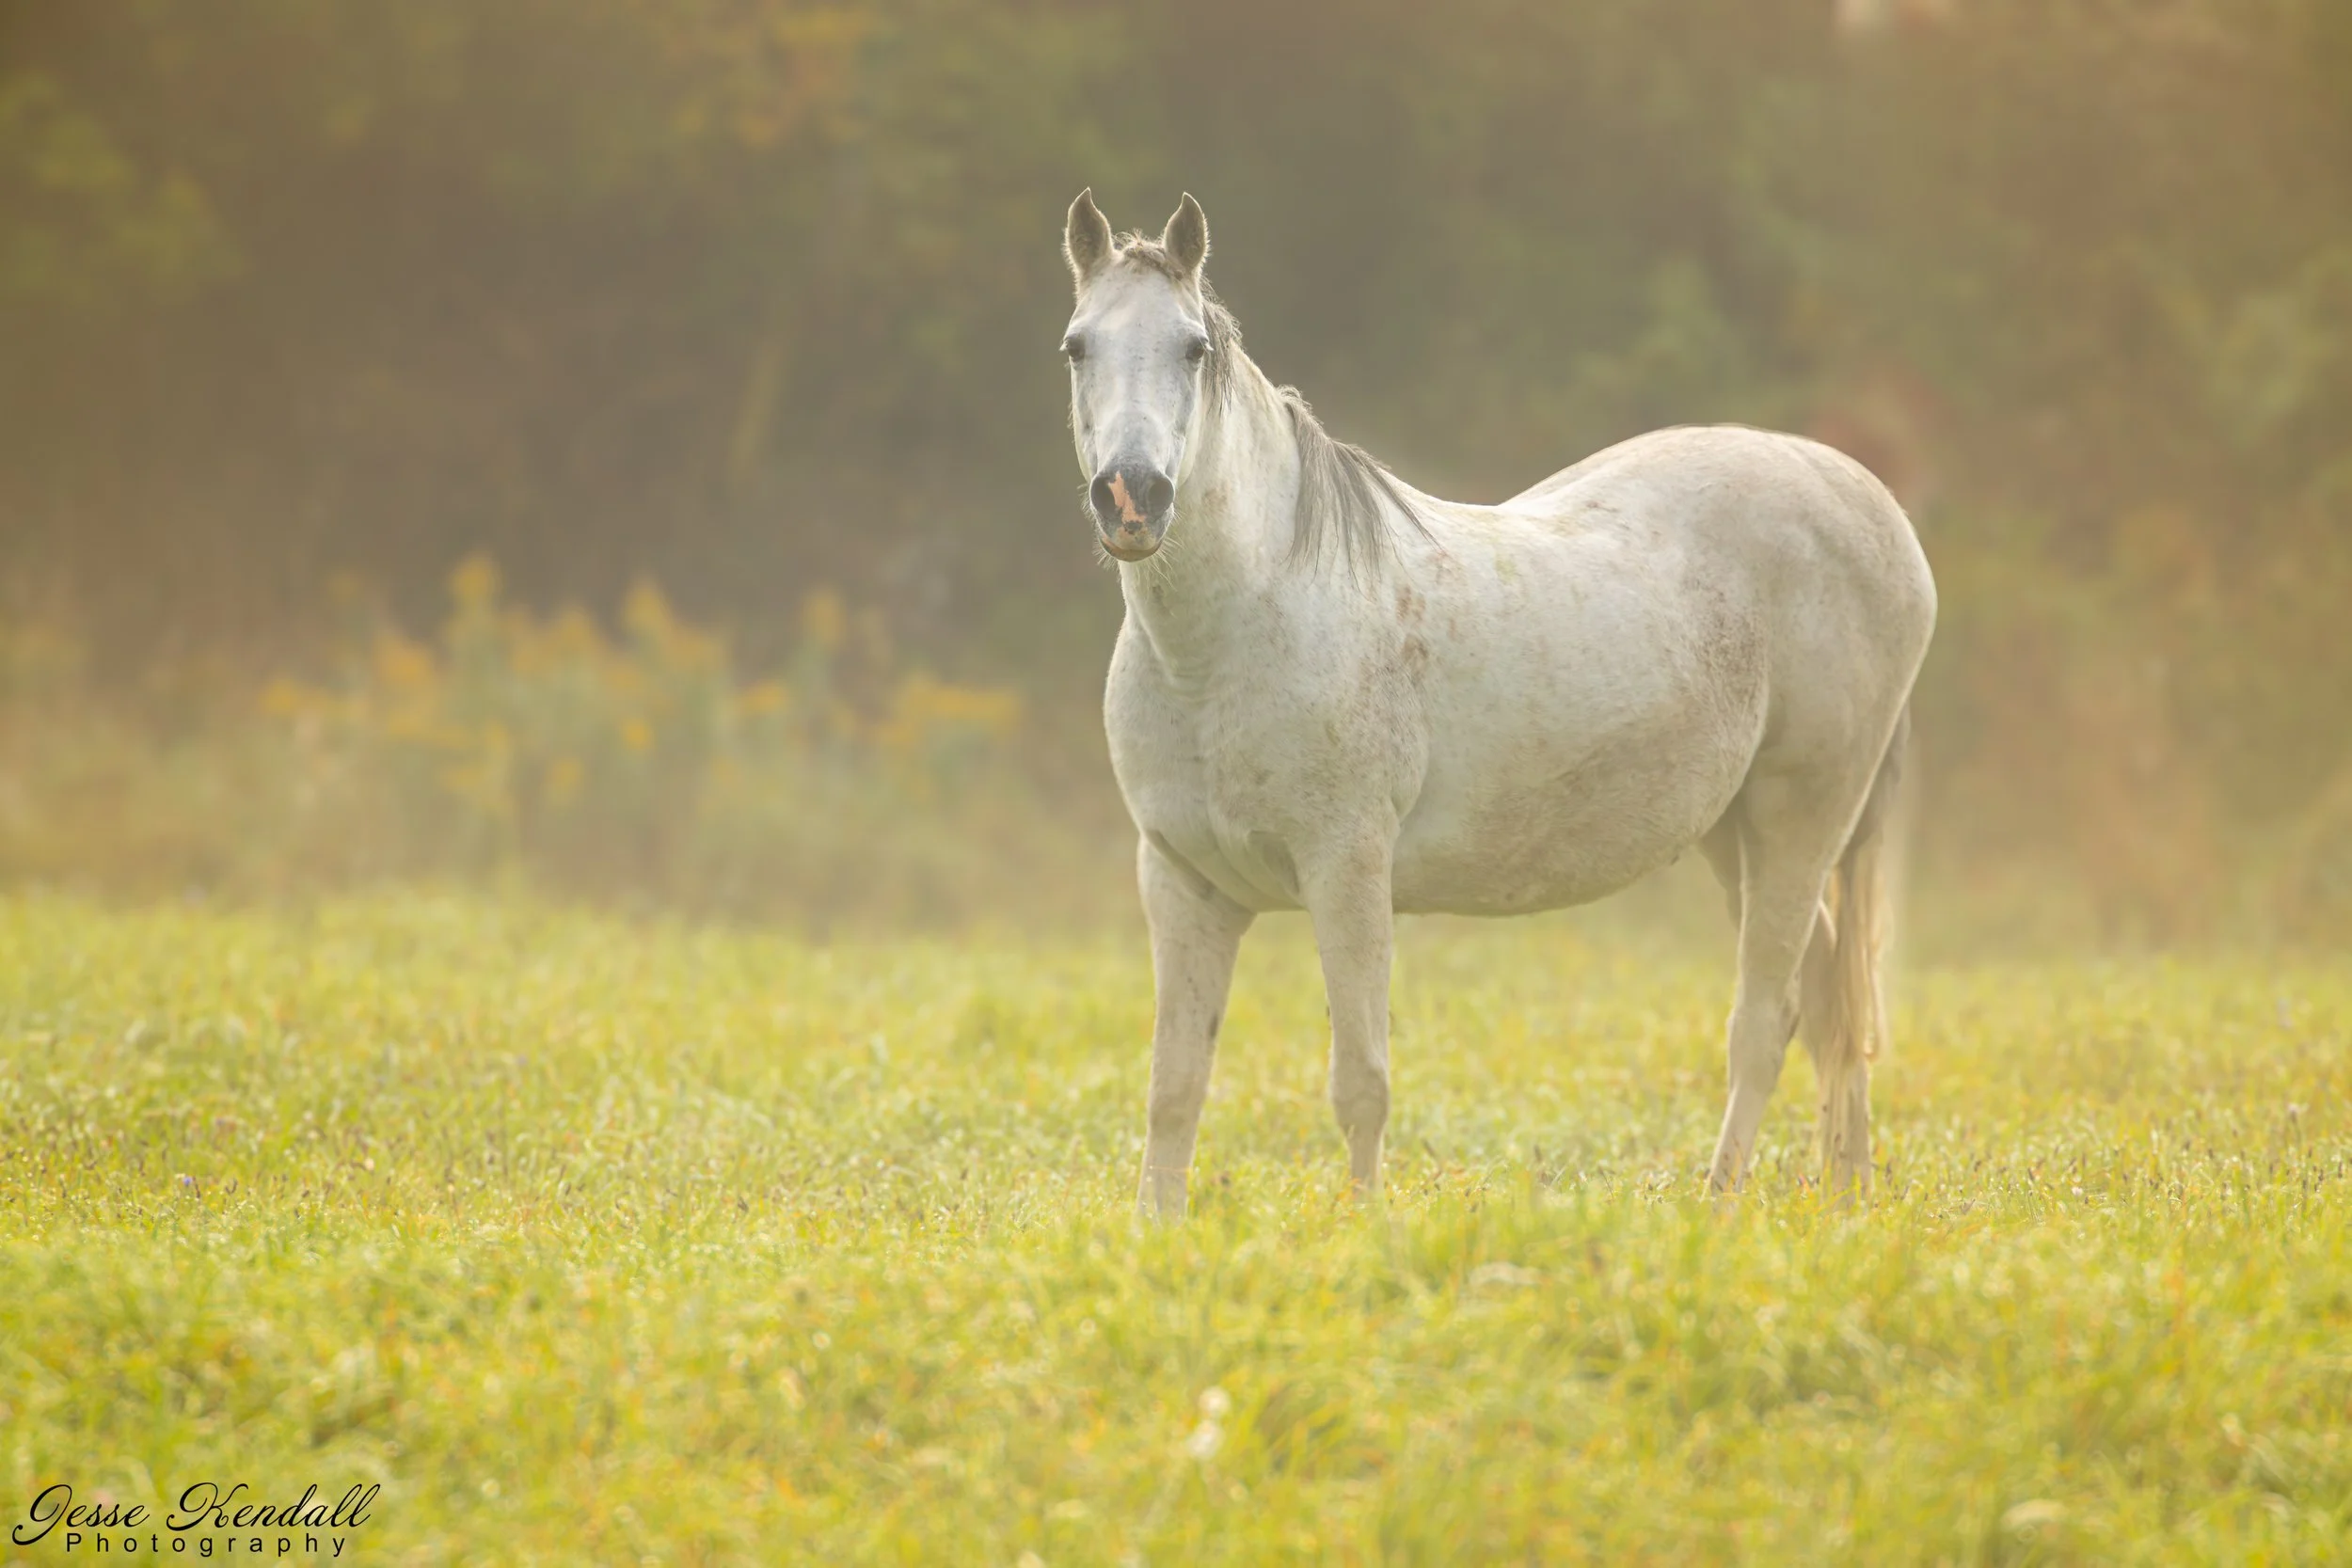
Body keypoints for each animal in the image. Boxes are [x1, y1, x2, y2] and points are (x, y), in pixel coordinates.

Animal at [1060, 191, 1936, 1218]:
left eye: (1193, 347)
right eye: (1077, 346)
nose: (1132, 497)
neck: (1230, 636)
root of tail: (1871, 502)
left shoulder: (1347, 870)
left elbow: (1360, 1079)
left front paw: (1363, 1226)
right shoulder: (1180, 882)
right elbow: (1174, 1085)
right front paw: (1154, 1231)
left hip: (1804, 813)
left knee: (1764, 1017)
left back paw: (1719, 1199)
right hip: (1737, 830)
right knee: (1830, 999)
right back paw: (1847, 1197)